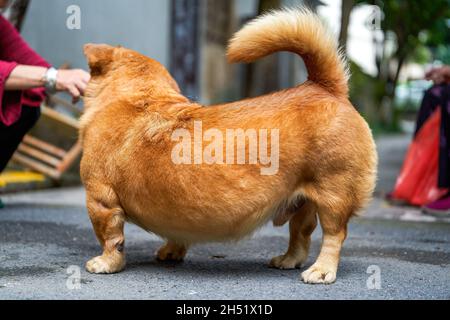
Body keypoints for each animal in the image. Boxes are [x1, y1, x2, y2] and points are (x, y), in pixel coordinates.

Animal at [80, 7, 376, 284]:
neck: (140, 97)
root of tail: (324, 87)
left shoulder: (100, 199)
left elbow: (111, 238)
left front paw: (106, 263)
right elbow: (174, 233)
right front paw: (172, 251)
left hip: (333, 197)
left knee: (333, 235)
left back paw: (321, 270)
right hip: (304, 202)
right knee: (300, 233)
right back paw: (288, 260)